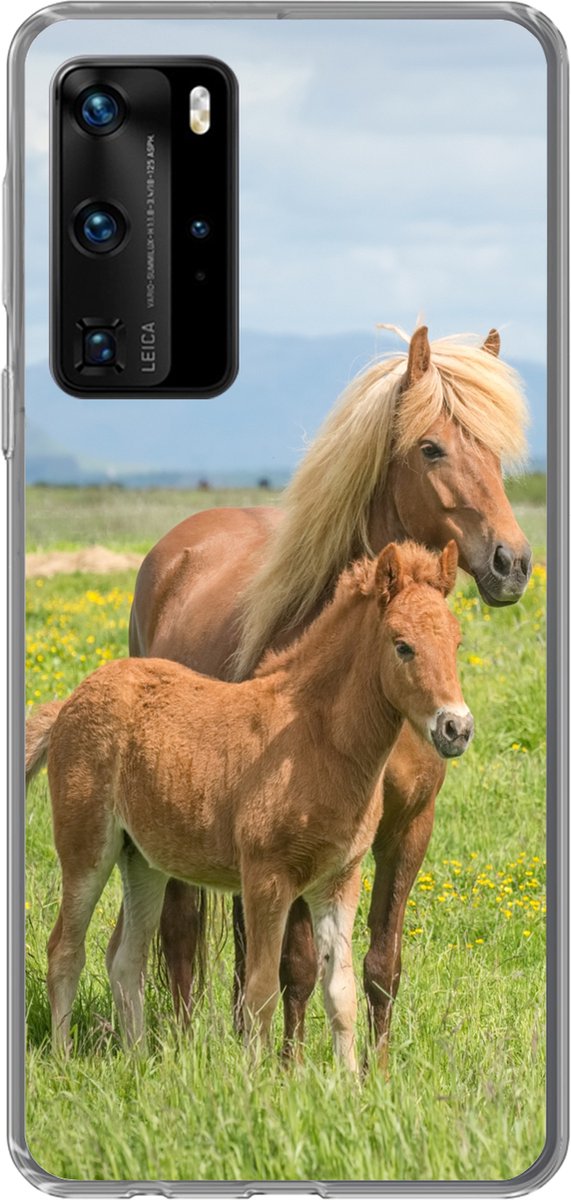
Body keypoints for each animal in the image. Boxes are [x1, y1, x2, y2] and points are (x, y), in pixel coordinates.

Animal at [27, 540, 473, 1064]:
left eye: (457, 643)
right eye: (403, 646)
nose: (456, 728)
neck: (314, 740)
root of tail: (69, 703)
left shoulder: (338, 879)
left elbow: (339, 991)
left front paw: (348, 1080)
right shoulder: (266, 878)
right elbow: (260, 990)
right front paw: (256, 1076)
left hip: (142, 859)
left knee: (125, 958)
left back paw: (138, 1062)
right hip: (86, 850)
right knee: (64, 949)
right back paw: (63, 1057)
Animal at [123, 323, 531, 1067]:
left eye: (493, 449)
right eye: (430, 447)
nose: (510, 564)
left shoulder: (407, 826)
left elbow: (379, 964)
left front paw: (378, 1069)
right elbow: (298, 966)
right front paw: (288, 1069)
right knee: (182, 927)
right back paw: (187, 1041)